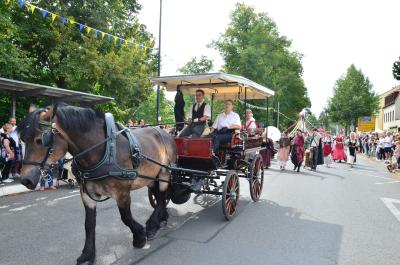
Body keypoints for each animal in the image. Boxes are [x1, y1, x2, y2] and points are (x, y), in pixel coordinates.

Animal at [17, 103, 177, 264]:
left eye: (40, 140)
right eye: (23, 139)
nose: (25, 180)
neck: (102, 151)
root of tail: (164, 133)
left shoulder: (122, 192)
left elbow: (125, 217)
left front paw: (139, 236)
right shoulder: (87, 194)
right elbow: (89, 224)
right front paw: (88, 254)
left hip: (164, 172)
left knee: (162, 197)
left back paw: (152, 225)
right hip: (151, 178)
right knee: (159, 196)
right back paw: (161, 219)